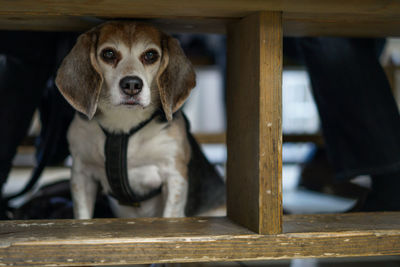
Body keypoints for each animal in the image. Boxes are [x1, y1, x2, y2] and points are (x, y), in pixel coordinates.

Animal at [55, 21, 225, 220]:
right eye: (109, 54)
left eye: (150, 55)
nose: (131, 84)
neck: (124, 123)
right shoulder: (82, 173)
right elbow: (83, 216)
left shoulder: (175, 175)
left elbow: (170, 215)